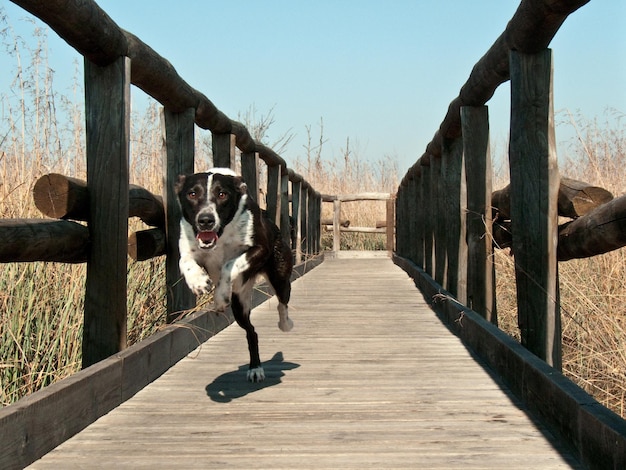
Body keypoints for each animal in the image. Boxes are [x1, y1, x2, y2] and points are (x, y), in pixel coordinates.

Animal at [176, 168, 292, 382]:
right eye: (192, 194)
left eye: (222, 194)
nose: (206, 220)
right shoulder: (189, 247)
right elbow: (185, 260)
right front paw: (198, 281)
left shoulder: (259, 249)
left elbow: (229, 264)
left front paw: (220, 296)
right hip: (239, 307)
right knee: (252, 332)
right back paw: (255, 368)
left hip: (280, 278)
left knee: (282, 303)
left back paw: (285, 324)